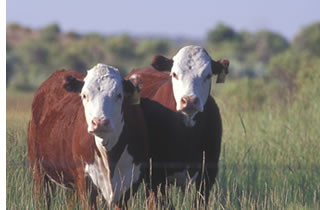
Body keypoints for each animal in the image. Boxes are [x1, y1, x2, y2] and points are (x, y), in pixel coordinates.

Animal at [28, 63, 148, 208]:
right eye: (84, 95)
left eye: (119, 95)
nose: (100, 122)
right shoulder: (85, 183)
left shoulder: (130, 184)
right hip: (39, 171)